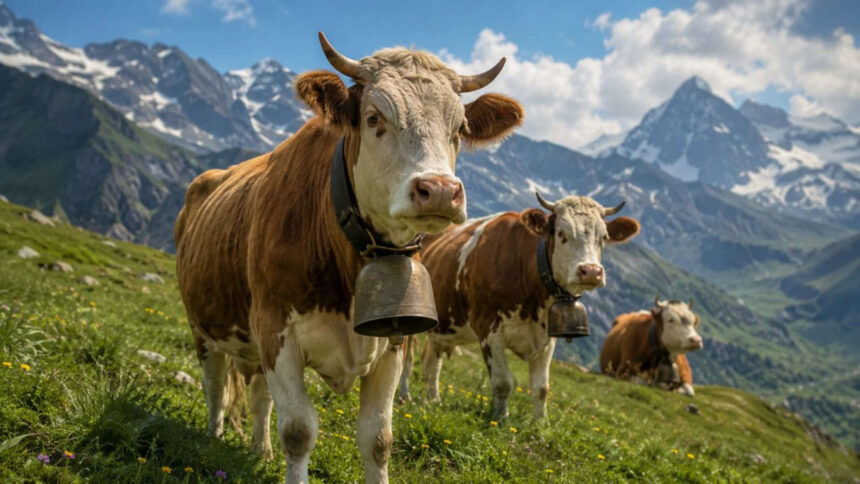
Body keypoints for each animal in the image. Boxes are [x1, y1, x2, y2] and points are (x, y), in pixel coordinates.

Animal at [174, 33, 524, 484]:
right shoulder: (274, 329)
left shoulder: (393, 343)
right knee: (216, 385)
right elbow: (299, 430)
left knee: (258, 397)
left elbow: (378, 439)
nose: (440, 191)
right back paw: (214, 436)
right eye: (374, 117)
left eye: (460, 128)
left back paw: (260, 450)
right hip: (203, 327)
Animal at [398, 192, 641, 420]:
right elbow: (503, 382)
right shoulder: (489, 329)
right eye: (562, 233)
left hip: (442, 327)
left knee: (431, 363)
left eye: (604, 237)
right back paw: (404, 395)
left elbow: (541, 388)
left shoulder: (548, 338)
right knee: (409, 360)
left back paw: (433, 400)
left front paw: (540, 425)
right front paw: (501, 420)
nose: (591, 271)